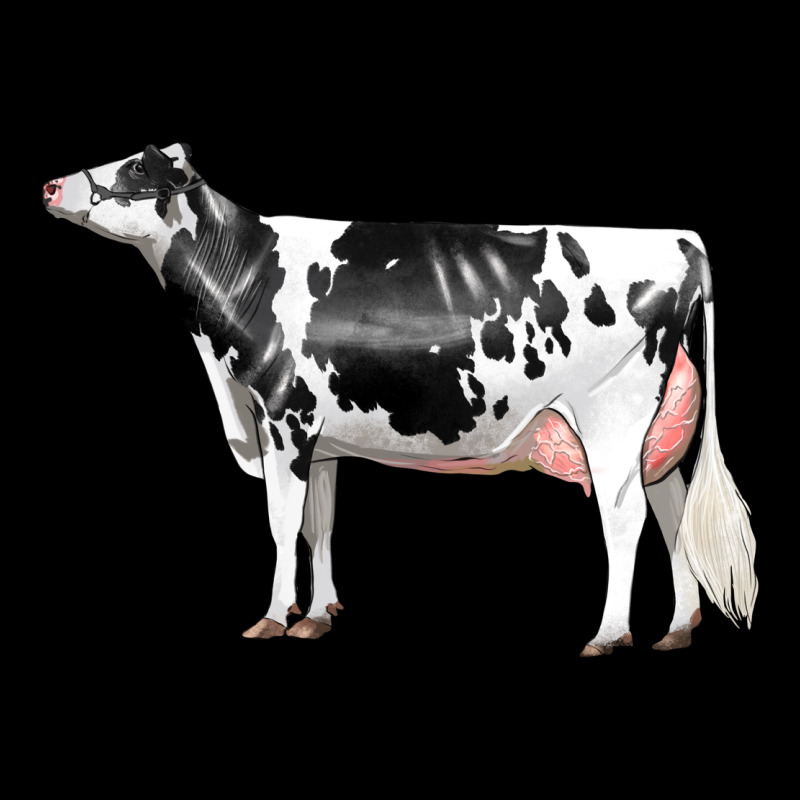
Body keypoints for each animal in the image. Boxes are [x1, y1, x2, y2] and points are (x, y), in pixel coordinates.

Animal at [43, 142, 757, 655]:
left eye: (137, 165)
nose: (51, 186)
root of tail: (679, 238)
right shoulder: (320, 437)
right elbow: (320, 523)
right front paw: (318, 614)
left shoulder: (283, 416)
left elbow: (282, 523)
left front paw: (273, 617)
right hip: (654, 433)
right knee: (670, 509)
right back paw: (678, 629)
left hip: (611, 419)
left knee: (624, 518)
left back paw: (608, 636)